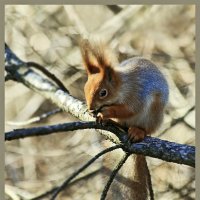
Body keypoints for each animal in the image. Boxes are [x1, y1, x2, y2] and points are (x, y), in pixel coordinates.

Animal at [79, 38, 169, 199]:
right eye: (85, 89)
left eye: (103, 92)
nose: (91, 108)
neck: (122, 86)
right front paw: (95, 113)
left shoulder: (136, 94)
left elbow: (128, 110)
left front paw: (105, 113)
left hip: (153, 114)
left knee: (147, 129)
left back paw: (138, 131)